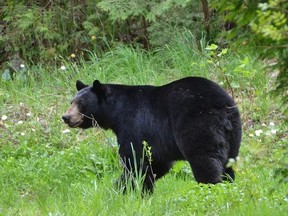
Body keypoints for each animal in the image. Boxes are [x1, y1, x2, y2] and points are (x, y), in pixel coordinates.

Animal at [62, 77, 241, 192]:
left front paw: (122, 189)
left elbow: (135, 162)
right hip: (232, 133)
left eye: (81, 103)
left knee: (204, 160)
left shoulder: (134, 126)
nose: (66, 117)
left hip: (198, 125)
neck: (116, 113)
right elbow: (155, 164)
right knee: (228, 164)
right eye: (71, 101)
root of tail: (221, 106)